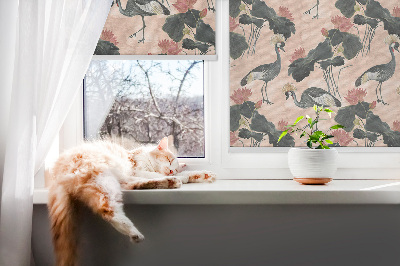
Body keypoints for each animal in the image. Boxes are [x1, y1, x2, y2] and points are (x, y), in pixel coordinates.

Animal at [48, 137, 216, 266]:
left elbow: (184, 174)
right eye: (169, 160)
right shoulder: (136, 170)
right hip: (103, 178)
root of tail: (56, 172)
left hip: (114, 182)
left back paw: (170, 182)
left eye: (174, 166)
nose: (171, 171)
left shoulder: (134, 174)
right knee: (107, 209)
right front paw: (183, 176)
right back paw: (134, 232)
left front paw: (203, 175)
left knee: (134, 186)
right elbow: (153, 174)